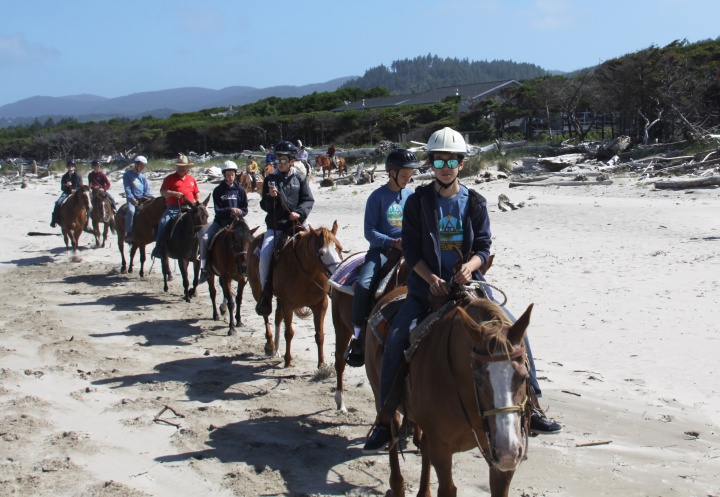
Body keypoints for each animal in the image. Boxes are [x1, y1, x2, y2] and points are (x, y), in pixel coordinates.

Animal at [248, 223, 346, 366]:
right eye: (321, 253)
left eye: (340, 248)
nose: (338, 272)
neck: (307, 273)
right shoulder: (288, 304)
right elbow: (289, 333)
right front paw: (288, 361)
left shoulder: (321, 304)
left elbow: (320, 335)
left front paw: (321, 364)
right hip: (257, 291)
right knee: (266, 316)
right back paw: (271, 346)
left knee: (277, 317)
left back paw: (277, 349)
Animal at [366, 286, 536, 496]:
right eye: (477, 379)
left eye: (524, 377)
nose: (507, 452)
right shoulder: (441, 448)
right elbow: (447, 488)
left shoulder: (499, 455)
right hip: (380, 394)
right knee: (392, 434)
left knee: (423, 445)